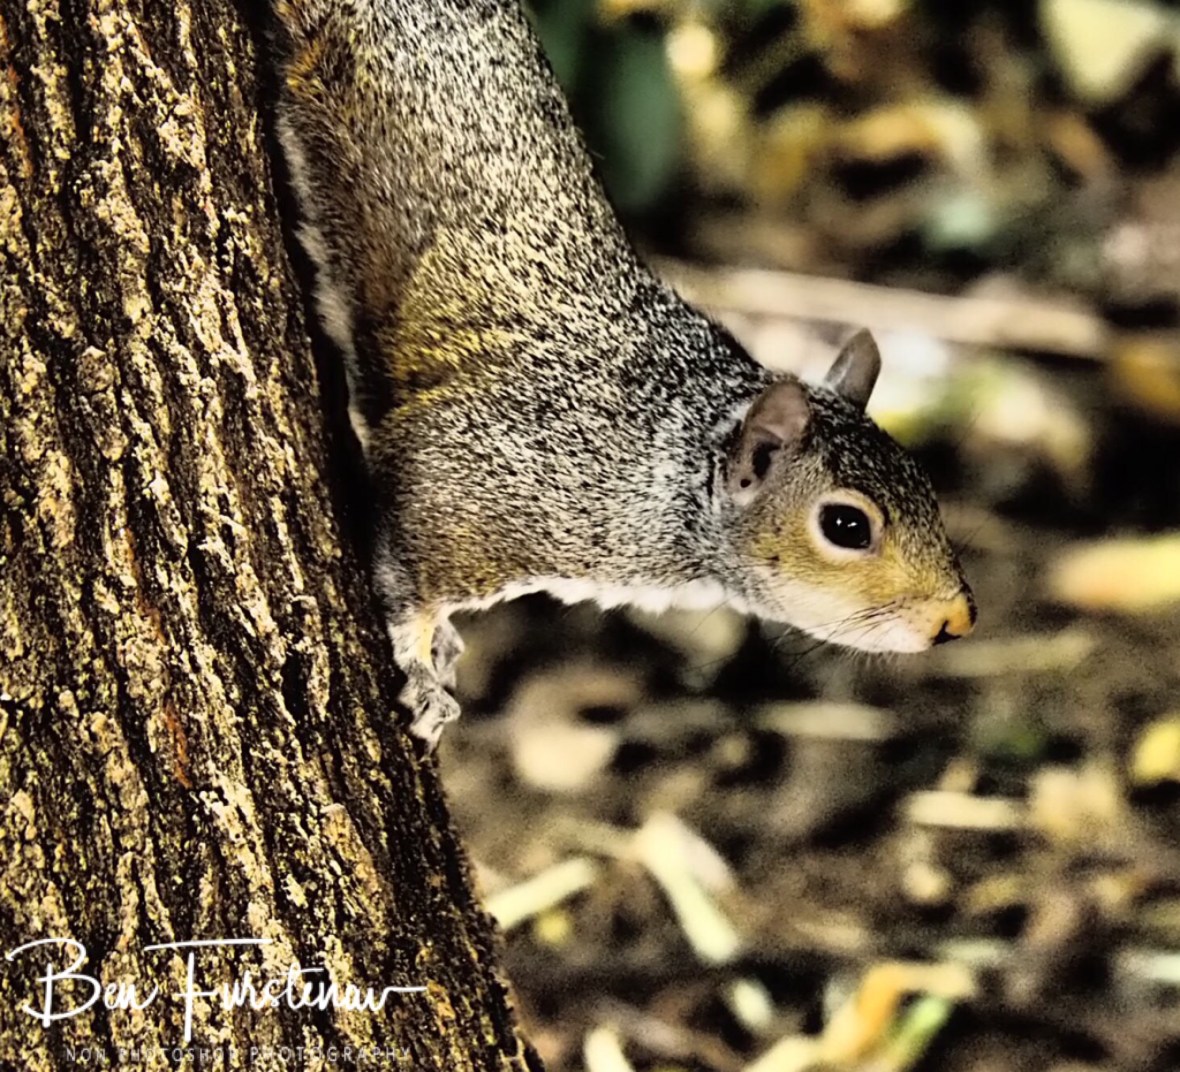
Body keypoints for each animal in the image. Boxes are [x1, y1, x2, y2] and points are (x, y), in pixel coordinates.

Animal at [269, 0, 976, 747]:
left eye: (927, 486)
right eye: (846, 526)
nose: (957, 620)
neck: (669, 468)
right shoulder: (470, 474)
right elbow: (413, 581)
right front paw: (424, 667)